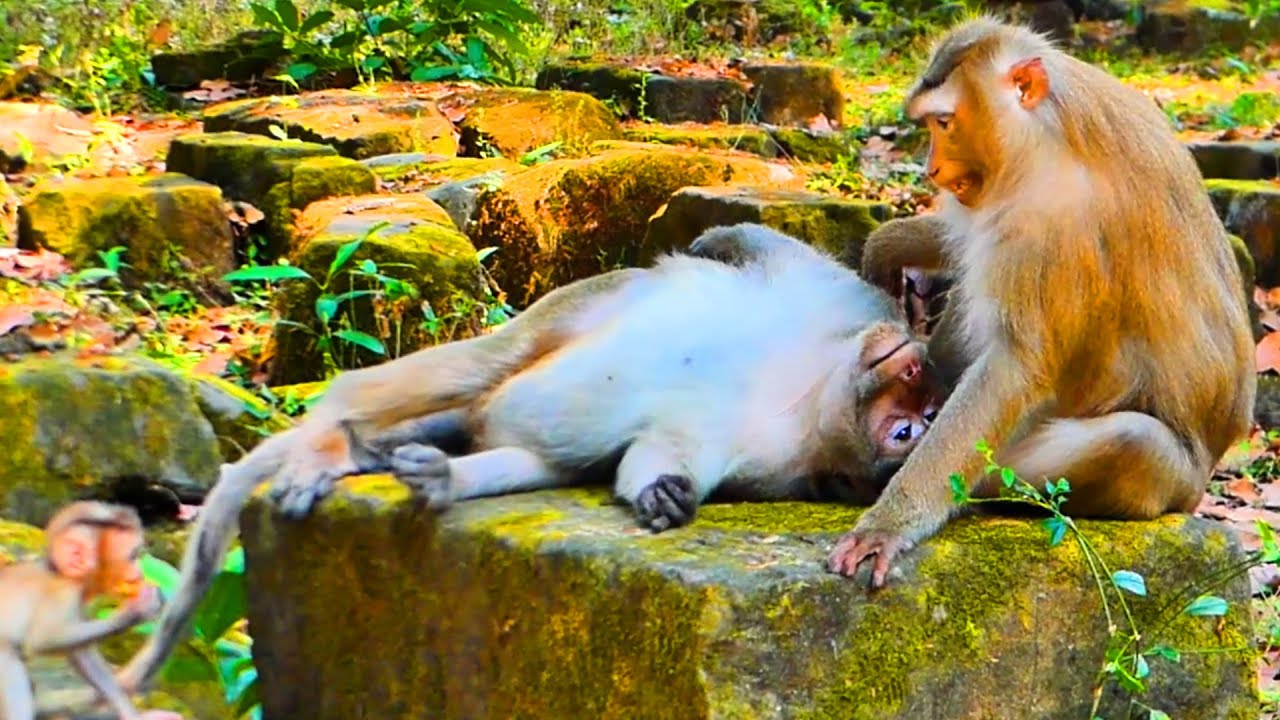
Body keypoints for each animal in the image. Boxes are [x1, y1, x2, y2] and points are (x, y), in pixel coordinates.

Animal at [0, 501, 182, 720]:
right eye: (133, 556)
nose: (139, 575)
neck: (60, 573)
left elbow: (82, 655)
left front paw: (131, 714)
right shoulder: (63, 594)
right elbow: (44, 640)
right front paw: (137, 610)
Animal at [116, 222, 943, 691]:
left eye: (908, 431)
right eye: (911, 396)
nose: (907, 367)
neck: (803, 389)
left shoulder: (768, 455)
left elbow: (660, 453)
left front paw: (666, 494)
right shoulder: (829, 303)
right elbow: (775, 253)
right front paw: (721, 233)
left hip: (513, 422)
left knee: (540, 457)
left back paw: (438, 473)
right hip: (557, 318)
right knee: (475, 363)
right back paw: (328, 439)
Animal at [813, 16, 1257, 588]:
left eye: (944, 123)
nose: (932, 170)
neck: (1049, 129)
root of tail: (1201, 486)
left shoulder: (1052, 216)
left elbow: (1015, 369)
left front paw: (891, 521)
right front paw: (889, 246)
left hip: (1165, 483)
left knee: (1136, 441)